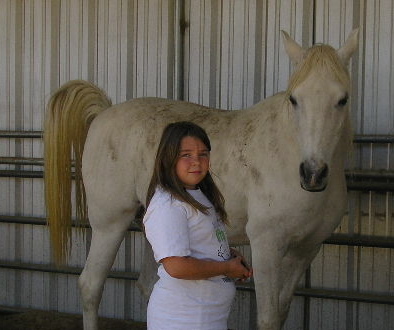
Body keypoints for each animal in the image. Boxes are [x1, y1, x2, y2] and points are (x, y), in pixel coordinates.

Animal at [44, 29, 358, 328]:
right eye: (294, 100)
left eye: (342, 100)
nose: (313, 173)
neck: (287, 152)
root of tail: (104, 113)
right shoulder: (267, 246)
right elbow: (268, 318)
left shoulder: (305, 250)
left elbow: (280, 313)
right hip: (109, 224)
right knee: (90, 286)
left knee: (148, 286)